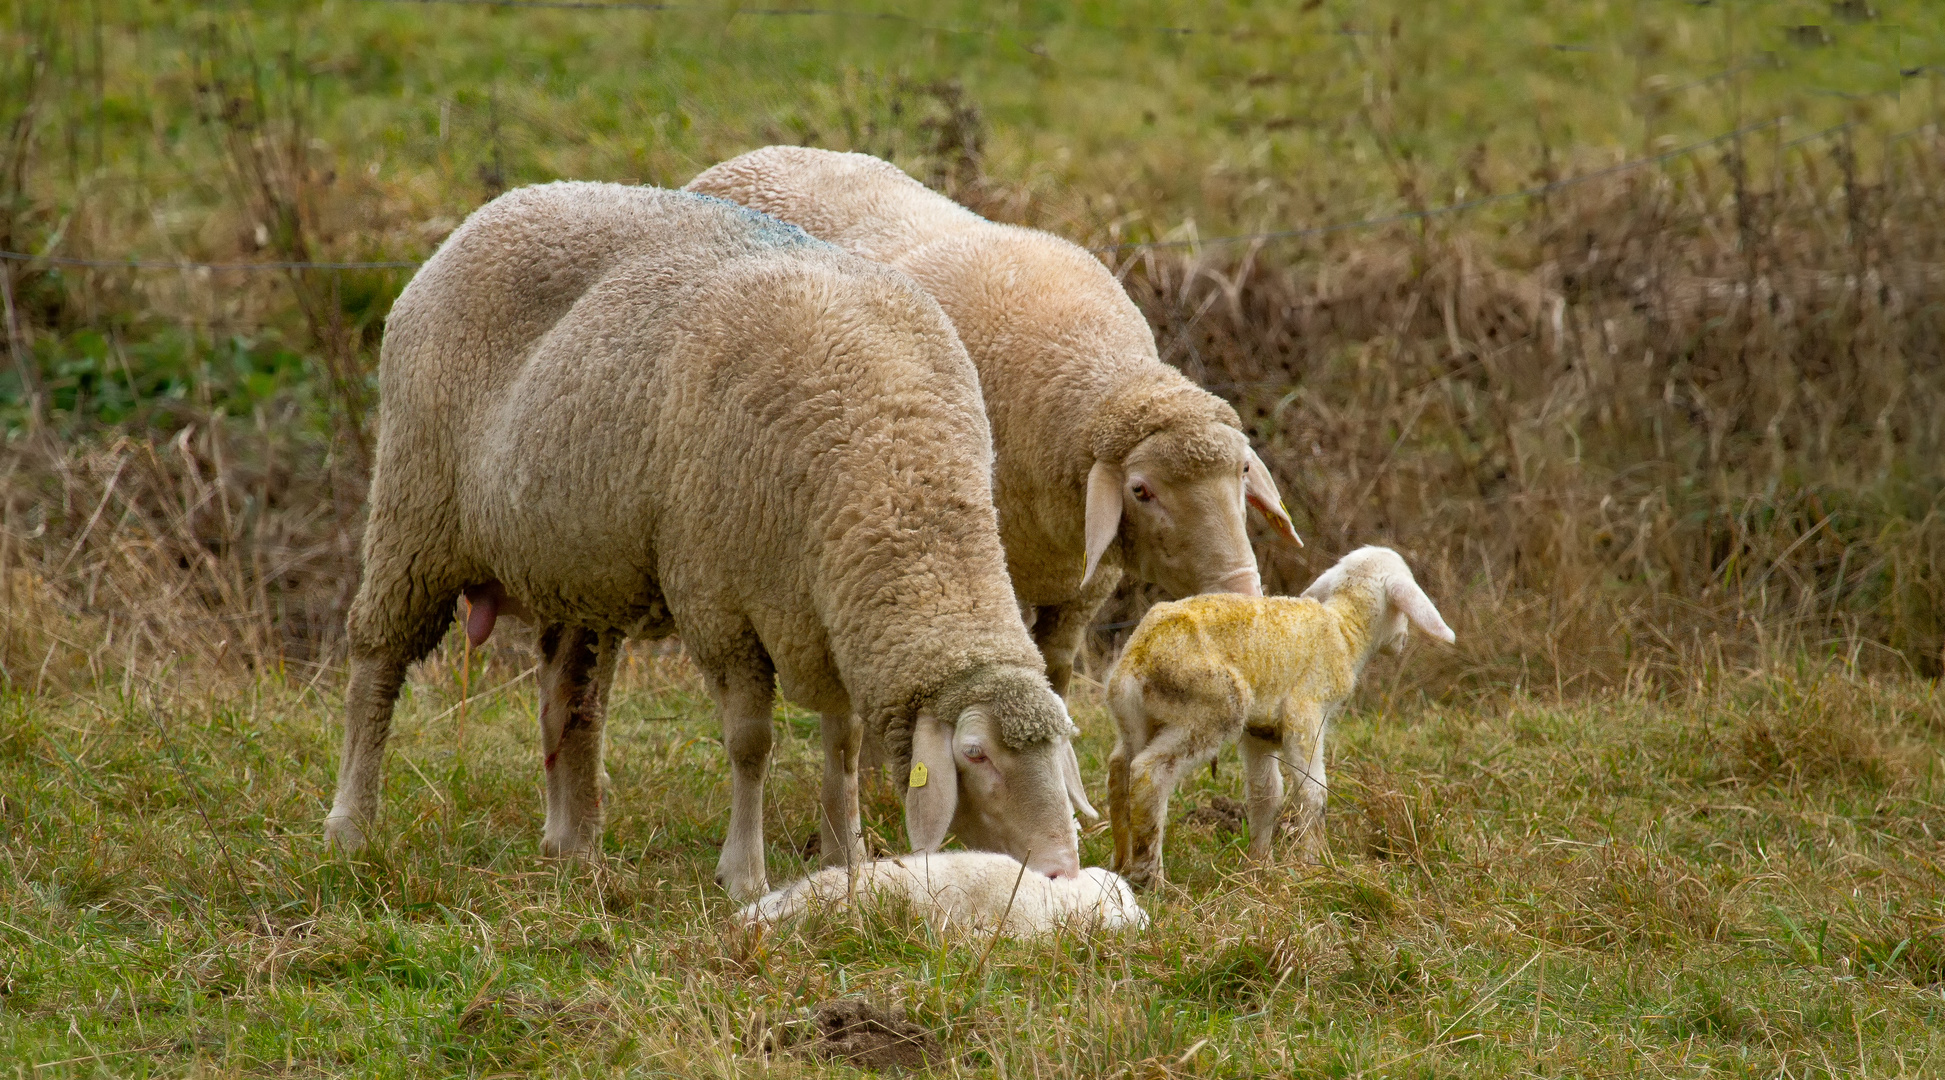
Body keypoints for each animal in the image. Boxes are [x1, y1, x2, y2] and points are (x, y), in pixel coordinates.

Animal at [326, 181, 1104, 899]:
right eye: (975, 754)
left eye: (1061, 747)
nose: (1061, 870)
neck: (891, 465)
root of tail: (491, 210)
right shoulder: (720, 605)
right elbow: (750, 743)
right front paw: (744, 875)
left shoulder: (829, 610)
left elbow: (844, 745)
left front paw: (847, 856)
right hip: (415, 512)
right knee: (377, 660)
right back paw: (351, 826)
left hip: (576, 563)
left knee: (570, 696)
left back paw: (573, 844)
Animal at [688, 145, 1307, 700]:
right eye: (1141, 490)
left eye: (1243, 472)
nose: (1242, 597)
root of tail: (745, 157)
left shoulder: (1081, 590)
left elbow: (1055, 670)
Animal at [1104, 548, 1454, 887]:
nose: (1403, 640)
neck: (1345, 631)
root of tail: (1138, 659)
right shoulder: (1306, 712)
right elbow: (1313, 792)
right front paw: (1313, 865)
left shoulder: (1258, 733)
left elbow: (1265, 794)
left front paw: (1259, 867)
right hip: (1210, 707)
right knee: (1148, 772)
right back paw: (1151, 877)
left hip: (1137, 718)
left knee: (1120, 766)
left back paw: (1122, 862)